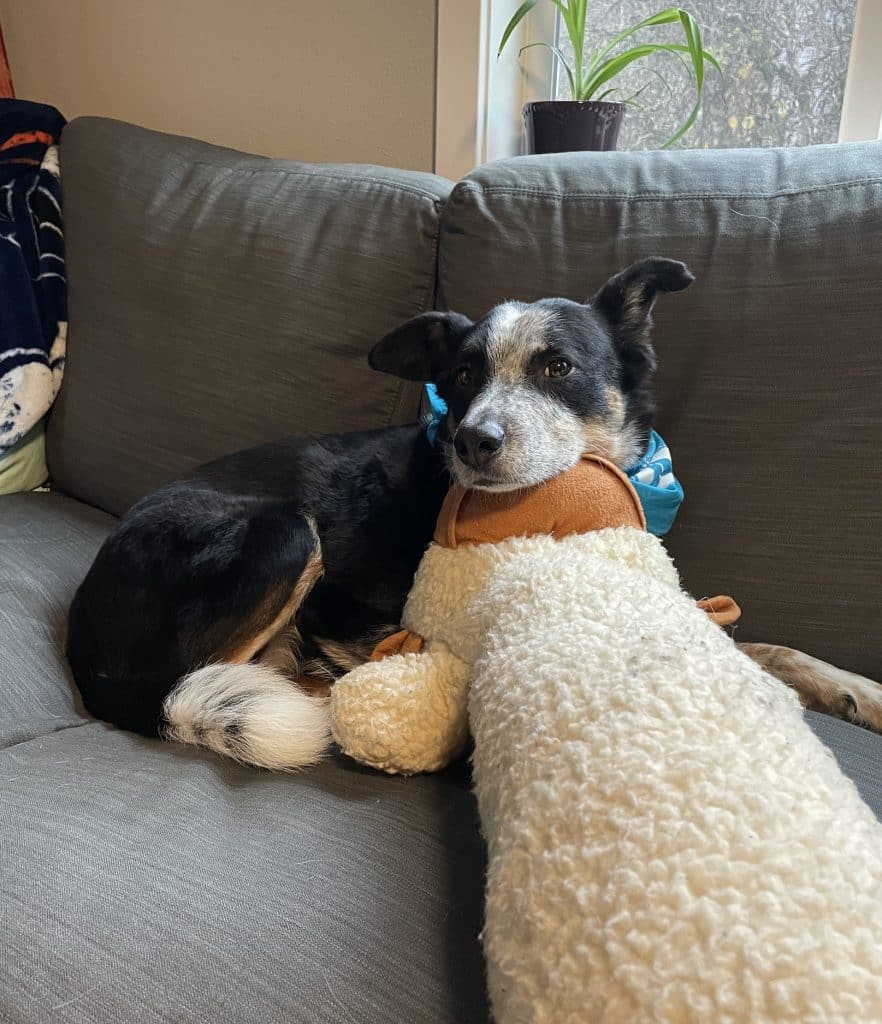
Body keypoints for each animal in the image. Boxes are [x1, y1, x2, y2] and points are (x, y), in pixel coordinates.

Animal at [67, 258, 880, 770]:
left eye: (558, 367)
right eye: (461, 376)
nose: (472, 441)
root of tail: (90, 650)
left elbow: (764, 643)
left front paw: (856, 690)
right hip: (284, 532)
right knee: (234, 676)